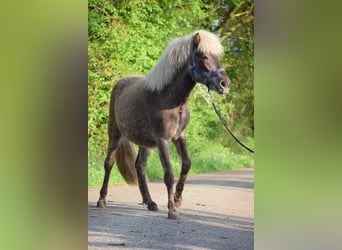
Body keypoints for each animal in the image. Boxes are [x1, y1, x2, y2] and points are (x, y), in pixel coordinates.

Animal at [96, 30, 230, 220]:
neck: (170, 98)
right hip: (114, 135)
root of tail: (120, 83)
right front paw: (172, 209)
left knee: (140, 167)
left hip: (145, 143)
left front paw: (178, 199)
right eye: (203, 56)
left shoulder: (179, 136)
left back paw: (150, 202)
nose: (225, 84)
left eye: (218, 56)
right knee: (109, 164)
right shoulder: (163, 140)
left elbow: (186, 164)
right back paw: (101, 200)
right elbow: (168, 174)